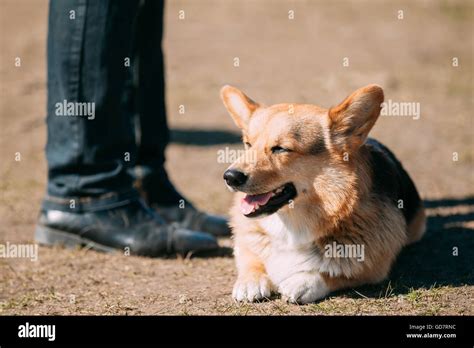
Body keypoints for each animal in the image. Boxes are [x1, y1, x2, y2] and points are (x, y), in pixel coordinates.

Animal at [221, 85, 426, 304]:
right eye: (248, 144)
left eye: (281, 149)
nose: (230, 177)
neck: (290, 227)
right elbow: (251, 258)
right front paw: (251, 280)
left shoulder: (373, 267)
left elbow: (335, 273)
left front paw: (303, 282)